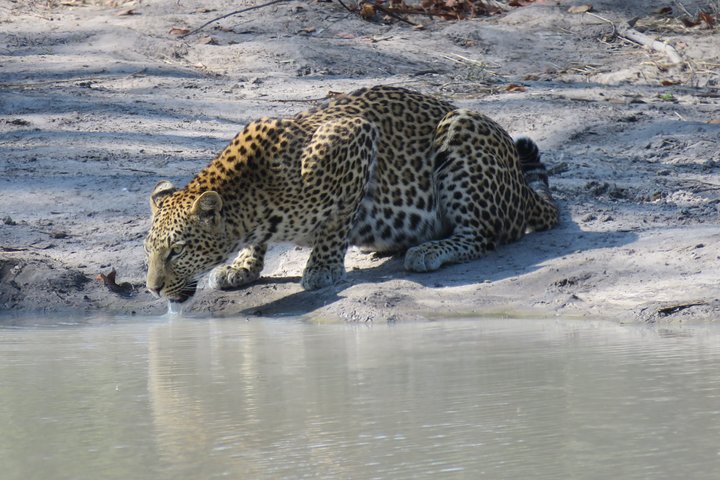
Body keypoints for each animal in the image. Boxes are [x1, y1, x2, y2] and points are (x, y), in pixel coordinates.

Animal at [144, 85, 559, 304]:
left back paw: (427, 251)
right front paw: (242, 266)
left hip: (462, 129)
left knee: (484, 236)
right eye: (149, 251)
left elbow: (337, 220)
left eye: (176, 251)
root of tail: (521, 186)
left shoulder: (356, 138)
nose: (152, 288)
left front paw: (322, 268)